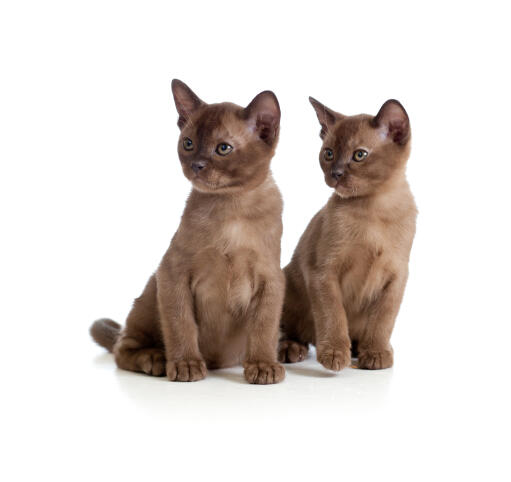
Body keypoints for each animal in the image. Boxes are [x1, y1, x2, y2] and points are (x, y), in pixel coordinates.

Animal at [90, 81, 286, 386]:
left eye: (223, 148)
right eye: (189, 144)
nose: (196, 165)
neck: (231, 206)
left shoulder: (271, 280)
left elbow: (263, 328)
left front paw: (263, 366)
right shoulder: (172, 273)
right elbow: (181, 324)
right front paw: (186, 365)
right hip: (150, 293)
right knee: (123, 347)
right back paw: (157, 359)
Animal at [280, 97, 416, 370]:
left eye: (359, 155)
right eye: (328, 153)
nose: (336, 174)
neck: (375, 209)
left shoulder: (396, 277)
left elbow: (384, 319)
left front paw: (376, 353)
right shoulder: (323, 273)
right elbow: (333, 314)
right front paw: (334, 353)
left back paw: (361, 349)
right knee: (288, 331)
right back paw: (292, 349)